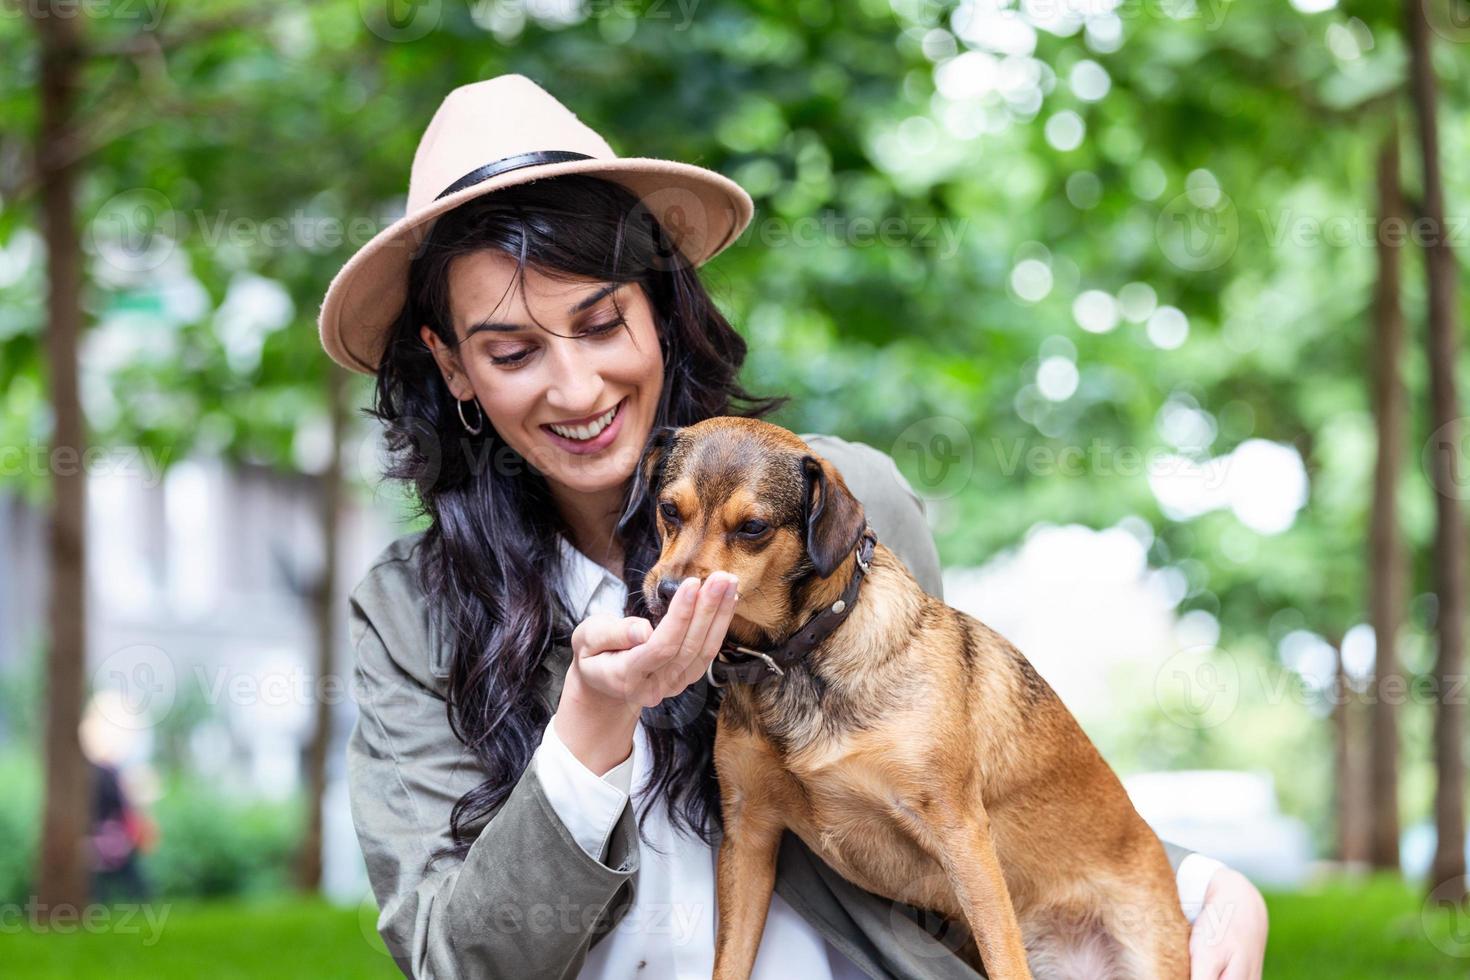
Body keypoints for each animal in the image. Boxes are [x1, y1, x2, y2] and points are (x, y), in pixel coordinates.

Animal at [637, 417, 1187, 975]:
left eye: (752, 528)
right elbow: (729, 961)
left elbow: (1004, 958)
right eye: (668, 509)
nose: (667, 592)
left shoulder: (960, 832)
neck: (799, 657)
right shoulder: (749, 833)